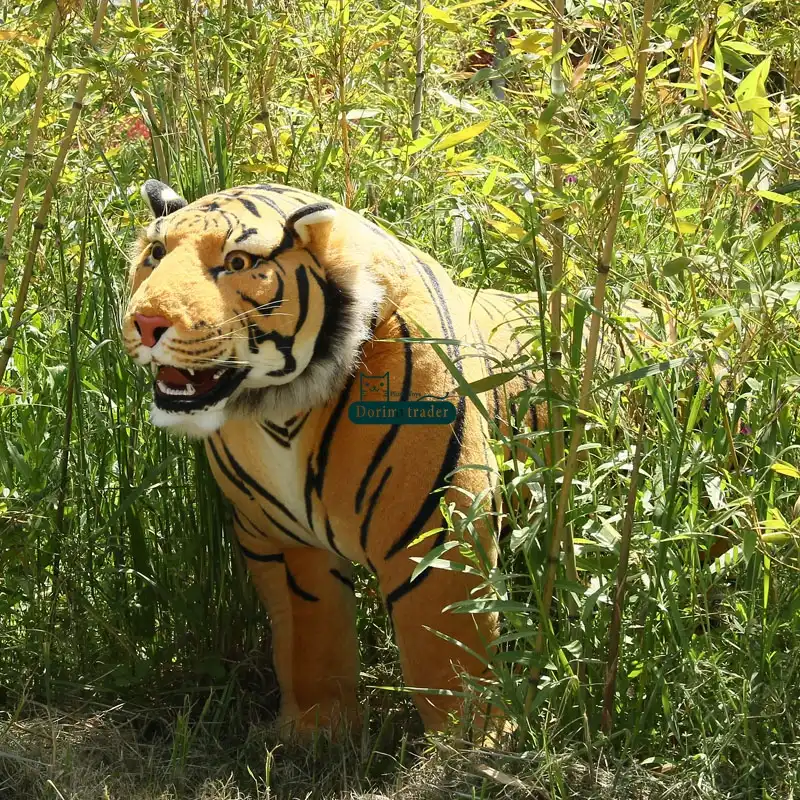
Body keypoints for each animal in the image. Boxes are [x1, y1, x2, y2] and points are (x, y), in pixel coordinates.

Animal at [122, 179, 541, 735]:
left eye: (236, 262)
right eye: (155, 253)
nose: (146, 322)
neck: (278, 411)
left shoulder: (437, 530)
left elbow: (448, 650)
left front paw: (475, 739)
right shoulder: (284, 542)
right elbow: (312, 635)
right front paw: (315, 730)